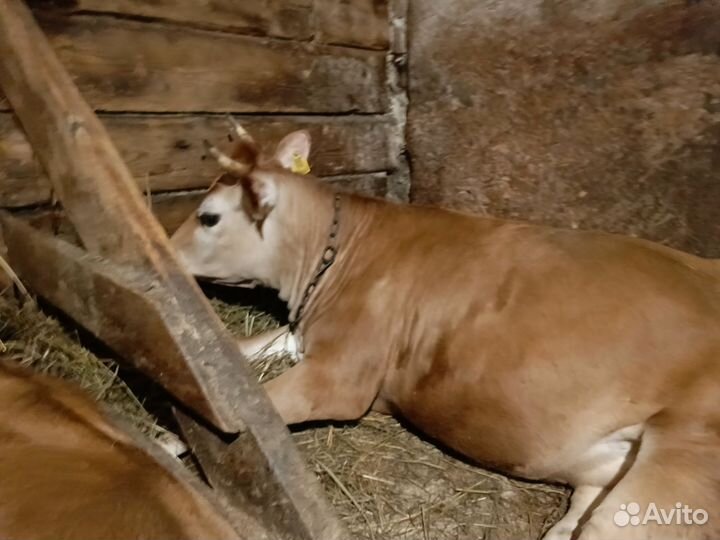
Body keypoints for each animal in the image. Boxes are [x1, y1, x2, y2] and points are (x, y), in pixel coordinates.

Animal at [170, 119, 720, 540]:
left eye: (208, 217)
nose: (168, 252)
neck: (329, 259)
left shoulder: (342, 375)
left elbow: (258, 405)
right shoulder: (306, 333)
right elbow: (240, 354)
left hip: (673, 472)